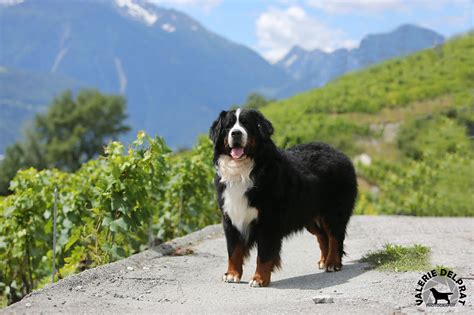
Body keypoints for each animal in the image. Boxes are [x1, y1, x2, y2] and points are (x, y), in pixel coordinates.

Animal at [209, 108, 358, 288]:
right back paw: (323, 261)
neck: (243, 172)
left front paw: (259, 279)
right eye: (229, 125)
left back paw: (332, 263)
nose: (236, 133)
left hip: (333, 212)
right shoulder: (231, 217)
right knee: (323, 236)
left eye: (246, 124)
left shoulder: (269, 220)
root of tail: (340, 154)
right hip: (309, 216)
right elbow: (233, 250)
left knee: (335, 236)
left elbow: (264, 254)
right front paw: (231, 274)